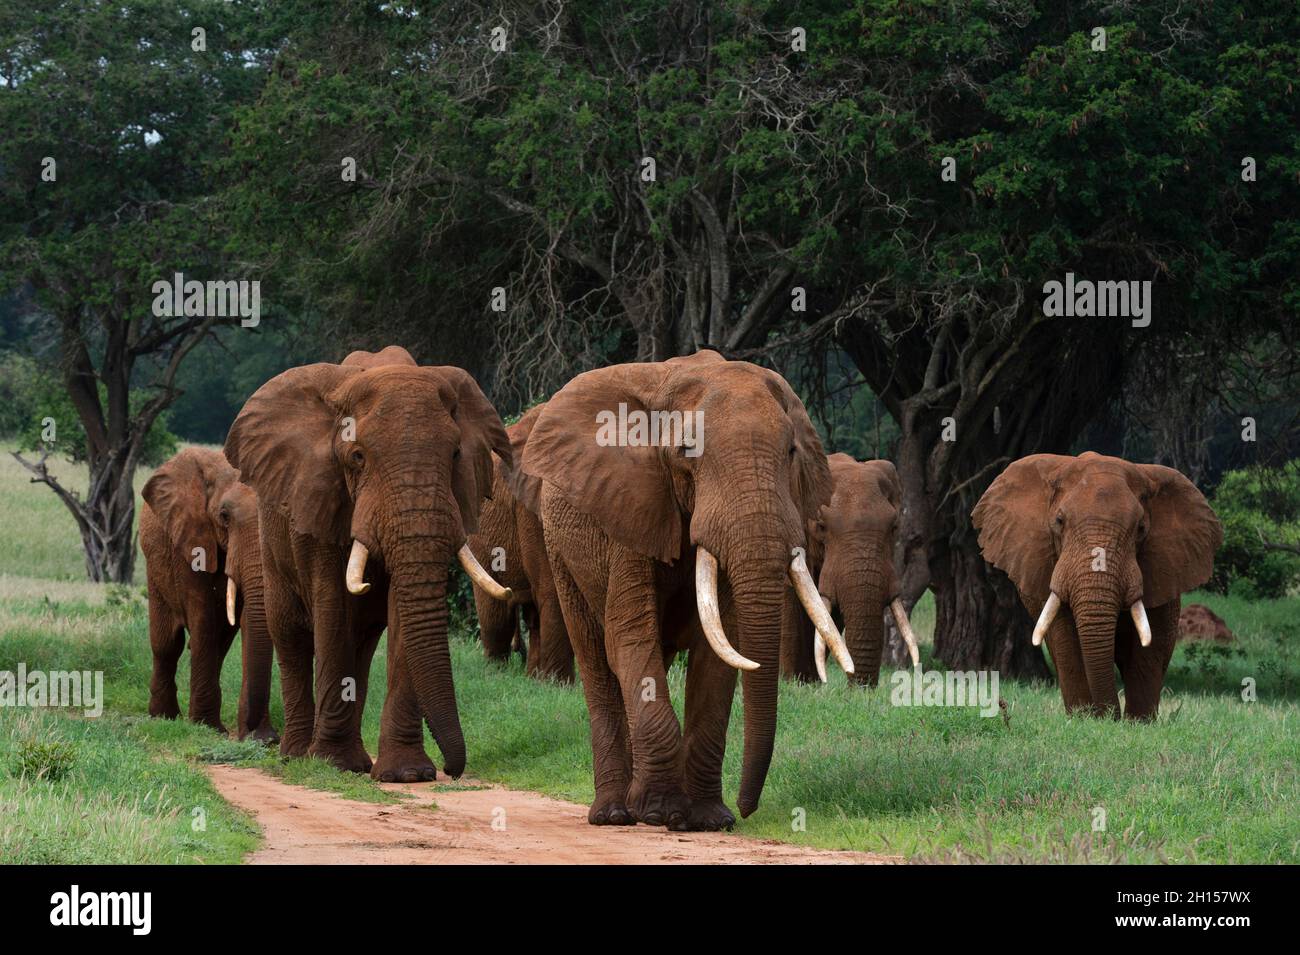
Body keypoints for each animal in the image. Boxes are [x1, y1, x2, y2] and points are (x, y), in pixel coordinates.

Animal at [139, 444, 276, 743]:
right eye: (224, 517)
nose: (269, 738)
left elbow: (249, 621)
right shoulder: (190, 536)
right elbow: (201, 613)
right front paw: (206, 726)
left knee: (220, 643)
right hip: (155, 567)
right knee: (167, 643)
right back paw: (163, 716)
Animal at [220, 348, 509, 779]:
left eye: (456, 454)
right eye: (357, 457)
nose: (452, 768)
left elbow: (401, 617)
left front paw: (407, 774)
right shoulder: (321, 497)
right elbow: (333, 609)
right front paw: (330, 763)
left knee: (361, 643)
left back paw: (354, 763)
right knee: (290, 633)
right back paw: (298, 755)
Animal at [512, 348, 857, 831]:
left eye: (791, 452)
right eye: (687, 451)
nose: (747, 810)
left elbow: (719, 651)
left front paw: (709, 819)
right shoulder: (630, 507)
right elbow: (630, 640)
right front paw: (661, 812)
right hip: (559, 546)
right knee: (598, 658)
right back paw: (615, 813)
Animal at [774, 454, 920, 686]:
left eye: (894, 527)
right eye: (821, 526)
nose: (860, 689)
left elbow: (830, 619)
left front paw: (811, 684)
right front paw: (790, 683)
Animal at [972, 454, 1222, 717]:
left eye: (1141, 529)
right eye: (1059, 521)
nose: (1111, 716)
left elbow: (1147, 651)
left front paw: (1136, 722)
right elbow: (1066, 641)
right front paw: (1084, 718)